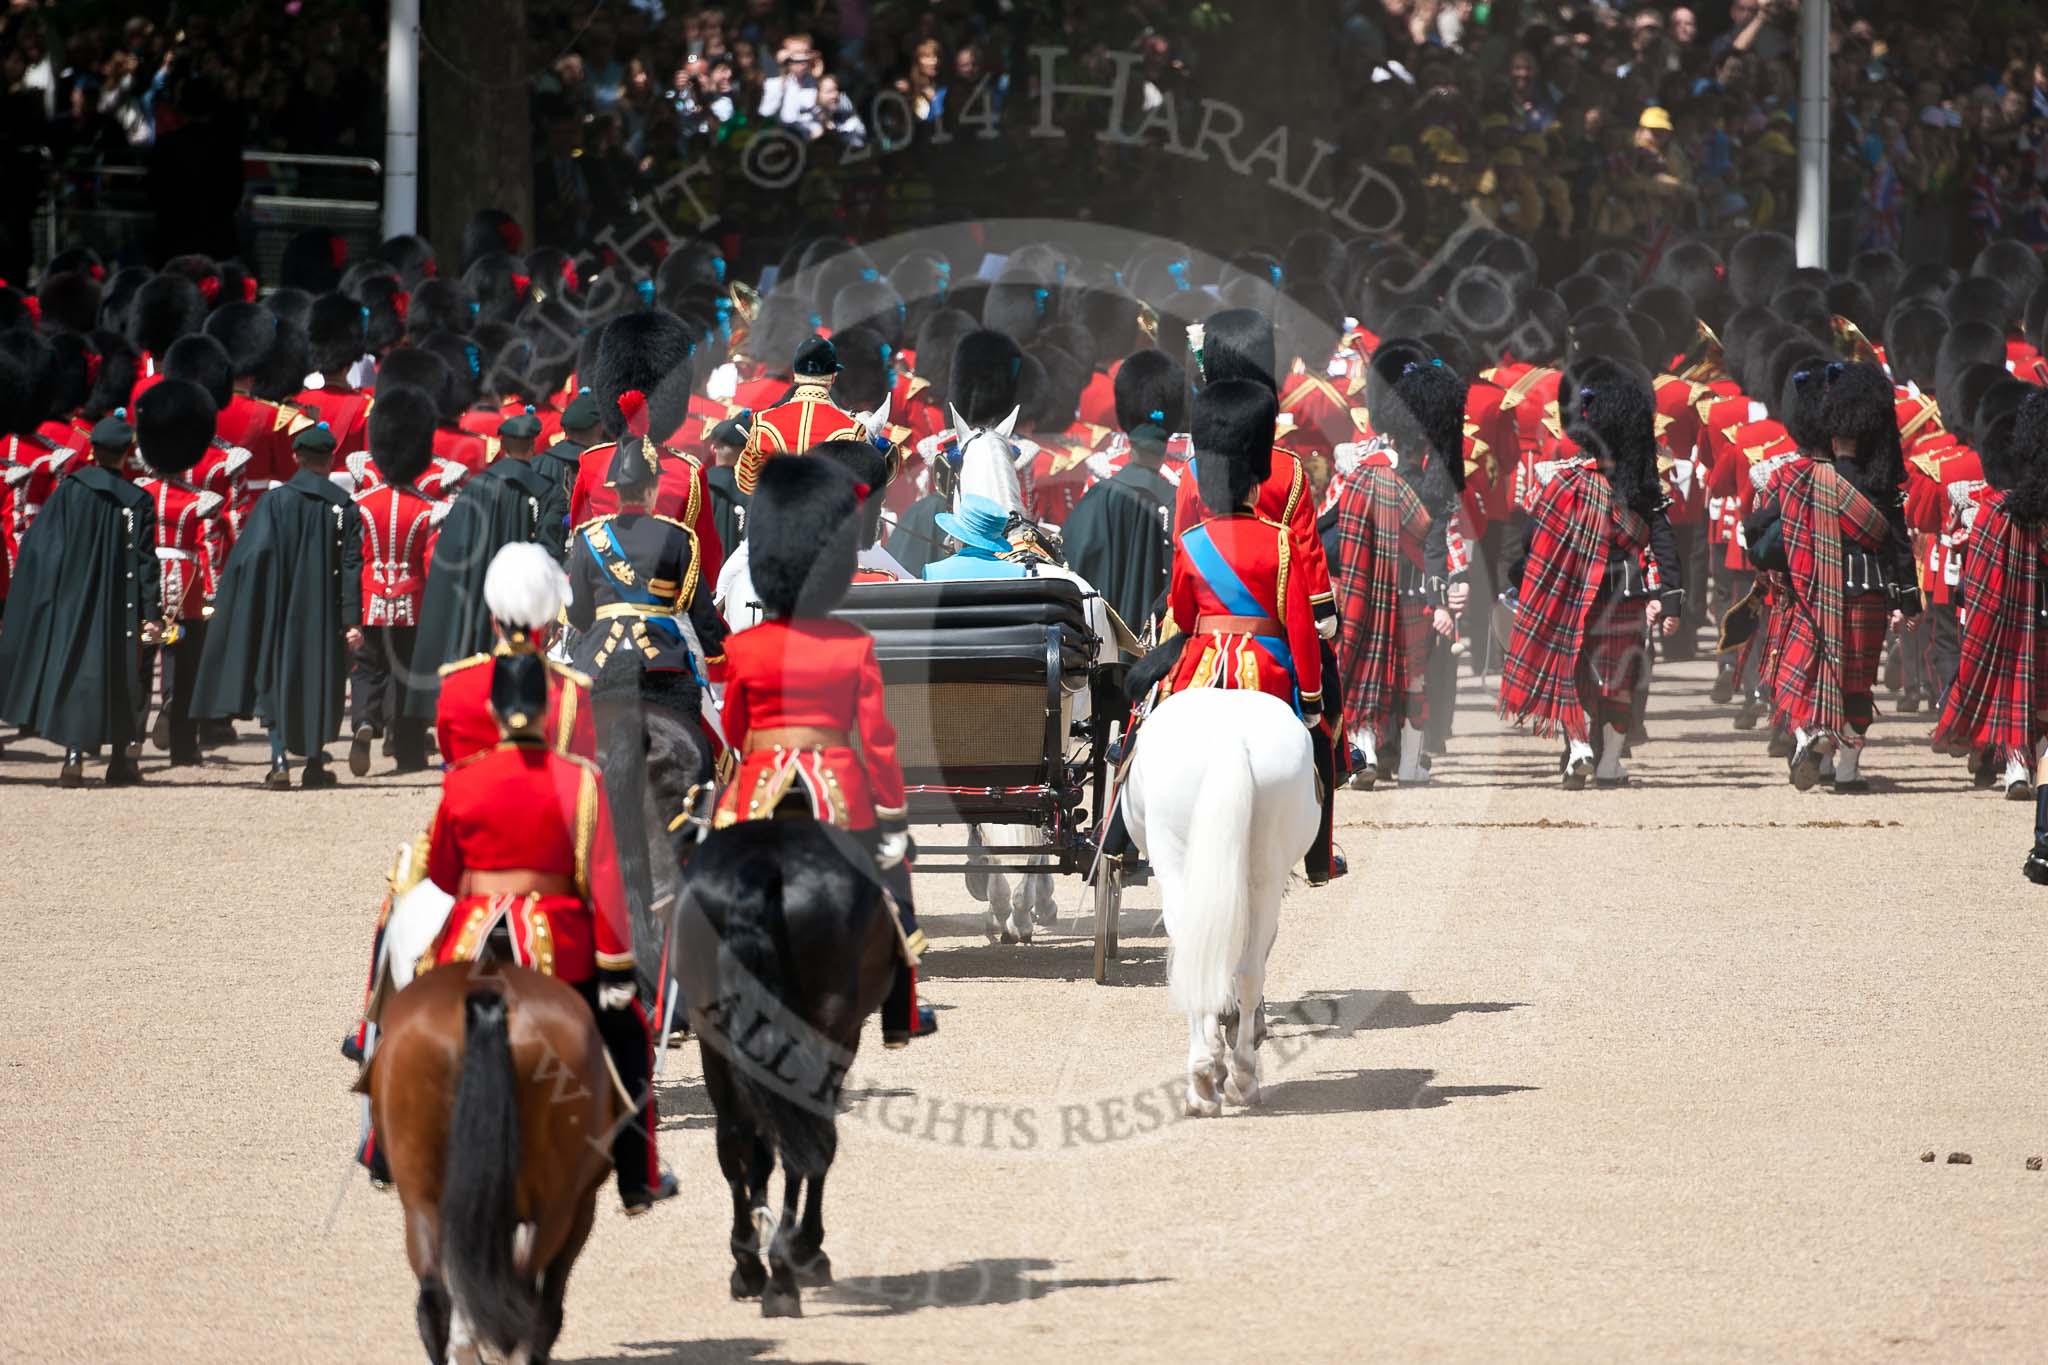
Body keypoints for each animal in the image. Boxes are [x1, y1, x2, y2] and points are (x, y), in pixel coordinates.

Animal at [368, 961, 618, 1365]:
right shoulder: (580, 1205)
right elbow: (546, 1299)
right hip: (555, 1208)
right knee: (522, 1293)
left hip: (422, 1197)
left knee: (436, 1294)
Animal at [671, 818, 897, 1317]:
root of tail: (762, 863)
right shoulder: (841, 1041)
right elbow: (815, 1143)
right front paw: (807, 1247)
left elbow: (759, 1149)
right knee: (803, 1145)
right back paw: (784, 1272)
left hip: (717, 1040)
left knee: (734, 1139)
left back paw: (749, 1265)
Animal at [1130, 687, 1318, 1113]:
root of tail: (1230, 739)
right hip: (1264, 876)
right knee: (1246, 970)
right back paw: (1234, 1074)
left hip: (1179, 867)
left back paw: (1208, 1079)